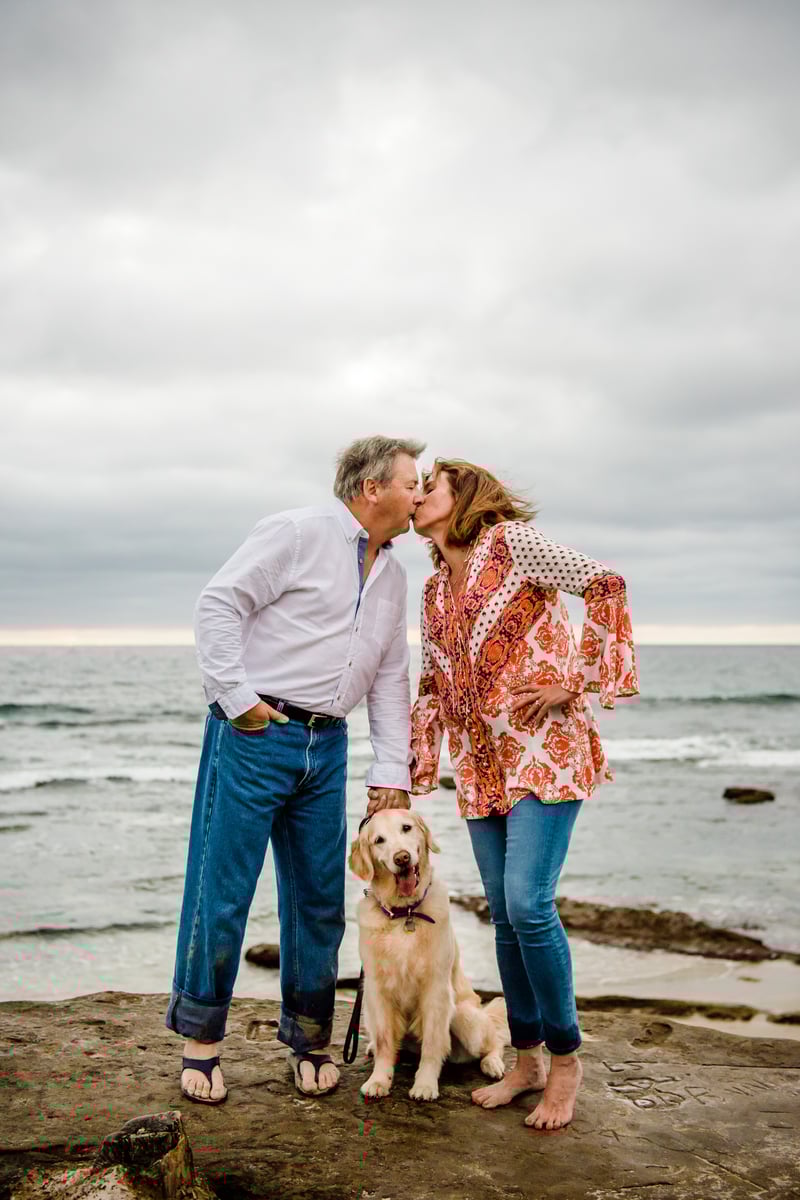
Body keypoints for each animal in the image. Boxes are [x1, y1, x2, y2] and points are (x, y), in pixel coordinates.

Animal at [348, 807, 509, 1101]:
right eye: (379, 840)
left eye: (406, 828)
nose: (402, 858)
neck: (405, 913)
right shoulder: (377, 990)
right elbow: (386, 1041)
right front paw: (379, 1080)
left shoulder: (435, 988)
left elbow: (433, 1044)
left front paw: (425, 1084)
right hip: (367, 1009)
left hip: (464, 1017)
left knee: (494, 1040)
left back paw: (493, 1064)